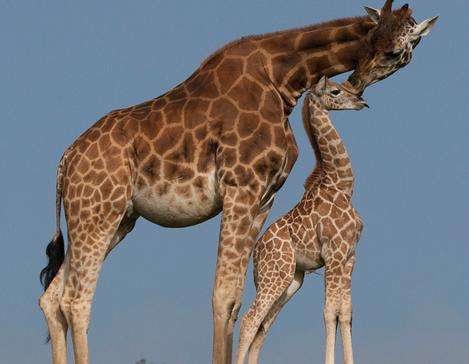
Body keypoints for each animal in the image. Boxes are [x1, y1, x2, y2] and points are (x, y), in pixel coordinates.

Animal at [236, 74, 368, 364]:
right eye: (335, 91)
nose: (362, 102)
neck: (342, 185)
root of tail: (255, 254)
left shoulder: (349, 256)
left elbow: (347, 313)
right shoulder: (333, 254)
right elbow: (331, 312)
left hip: (292, 279)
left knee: (263, 326)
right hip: (276, 274)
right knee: (250, 319)